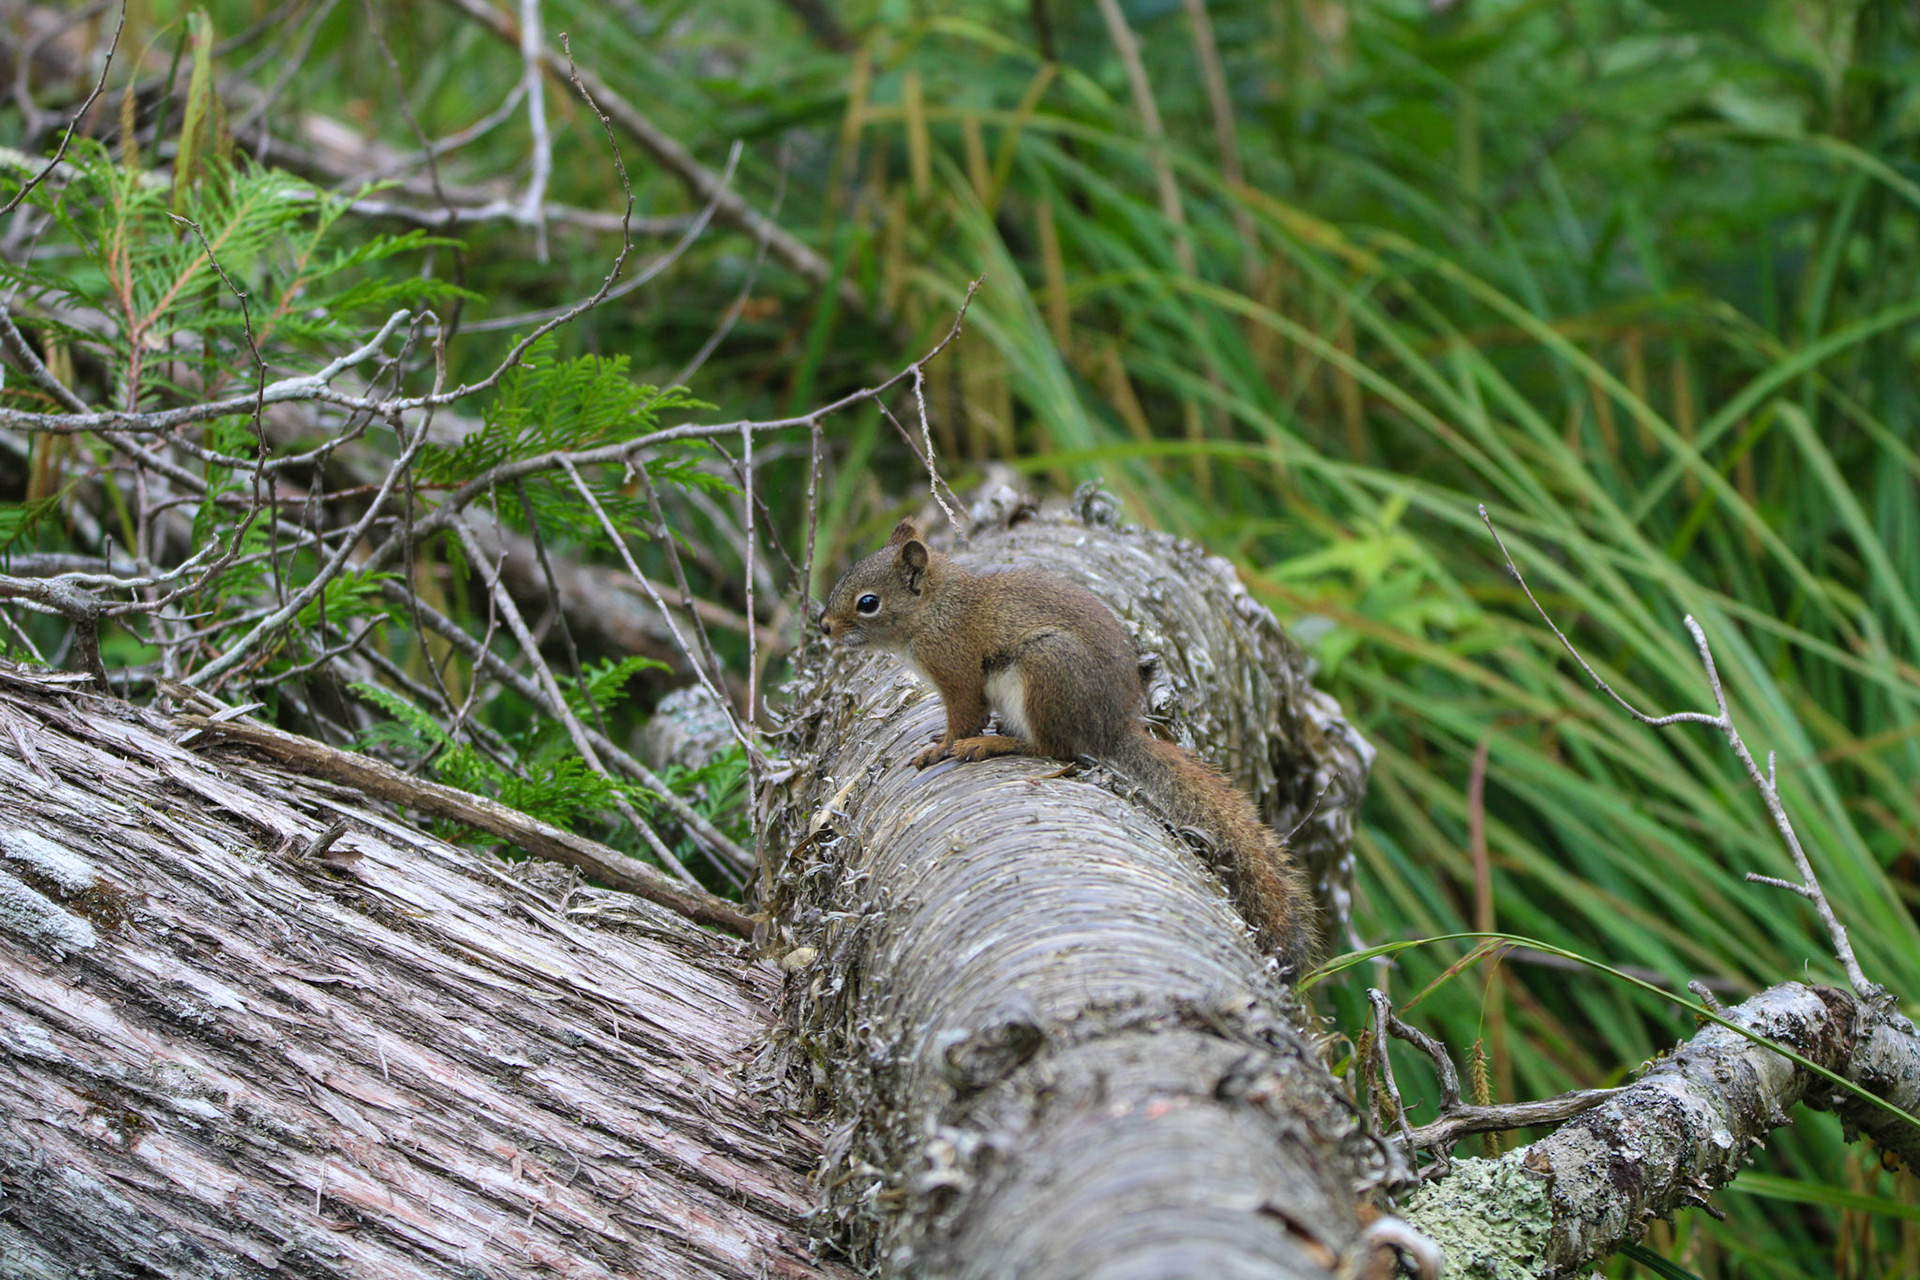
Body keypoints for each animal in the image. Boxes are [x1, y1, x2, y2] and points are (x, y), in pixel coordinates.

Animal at [819, 519, 1318, 971]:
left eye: (868, 603)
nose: (823, 627)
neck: (937, 608)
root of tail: (1109, 727)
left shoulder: (957, 670)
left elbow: (963, 716)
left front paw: (943, 746)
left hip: (1045, 670)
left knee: (1052, 749)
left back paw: (994, 746)